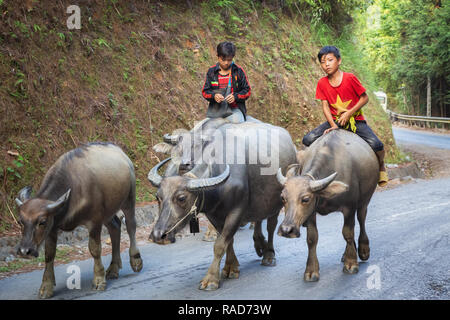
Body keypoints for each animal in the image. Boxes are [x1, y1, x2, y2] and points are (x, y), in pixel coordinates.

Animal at [15, 142, 142, 298]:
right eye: (20, 221)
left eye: (42, 222)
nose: (24, 251)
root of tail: (123, 155)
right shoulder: (53, 227)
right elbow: (49, 254)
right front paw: (46, 287)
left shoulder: (94, 221)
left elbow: (95, 249)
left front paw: (99, 280)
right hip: (108, 211)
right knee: (115, 227)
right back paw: (113, 269)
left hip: (129, 199)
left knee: (130, 225)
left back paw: (135, 260)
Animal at [148, 118, 298, 290]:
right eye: (158, 197)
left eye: (181, 198)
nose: (159, 235)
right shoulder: (214, 215)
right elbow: (228, 241)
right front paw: (230, 268)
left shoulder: (236, 212)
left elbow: (220, 245)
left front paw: (211, 279)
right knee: (259, 218)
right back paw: (259, 244)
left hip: (277, 202)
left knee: (271, 226)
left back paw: (268, 255)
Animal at [276, 129, 378, 282]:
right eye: (283, 198)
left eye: (305, 199)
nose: (287, 230)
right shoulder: (311, 213)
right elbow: (312, 238)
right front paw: (311, 271)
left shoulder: (349, 208)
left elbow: (347, 233)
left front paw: (351, 264)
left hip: (365, 200)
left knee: (361, 218)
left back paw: (363, 250)